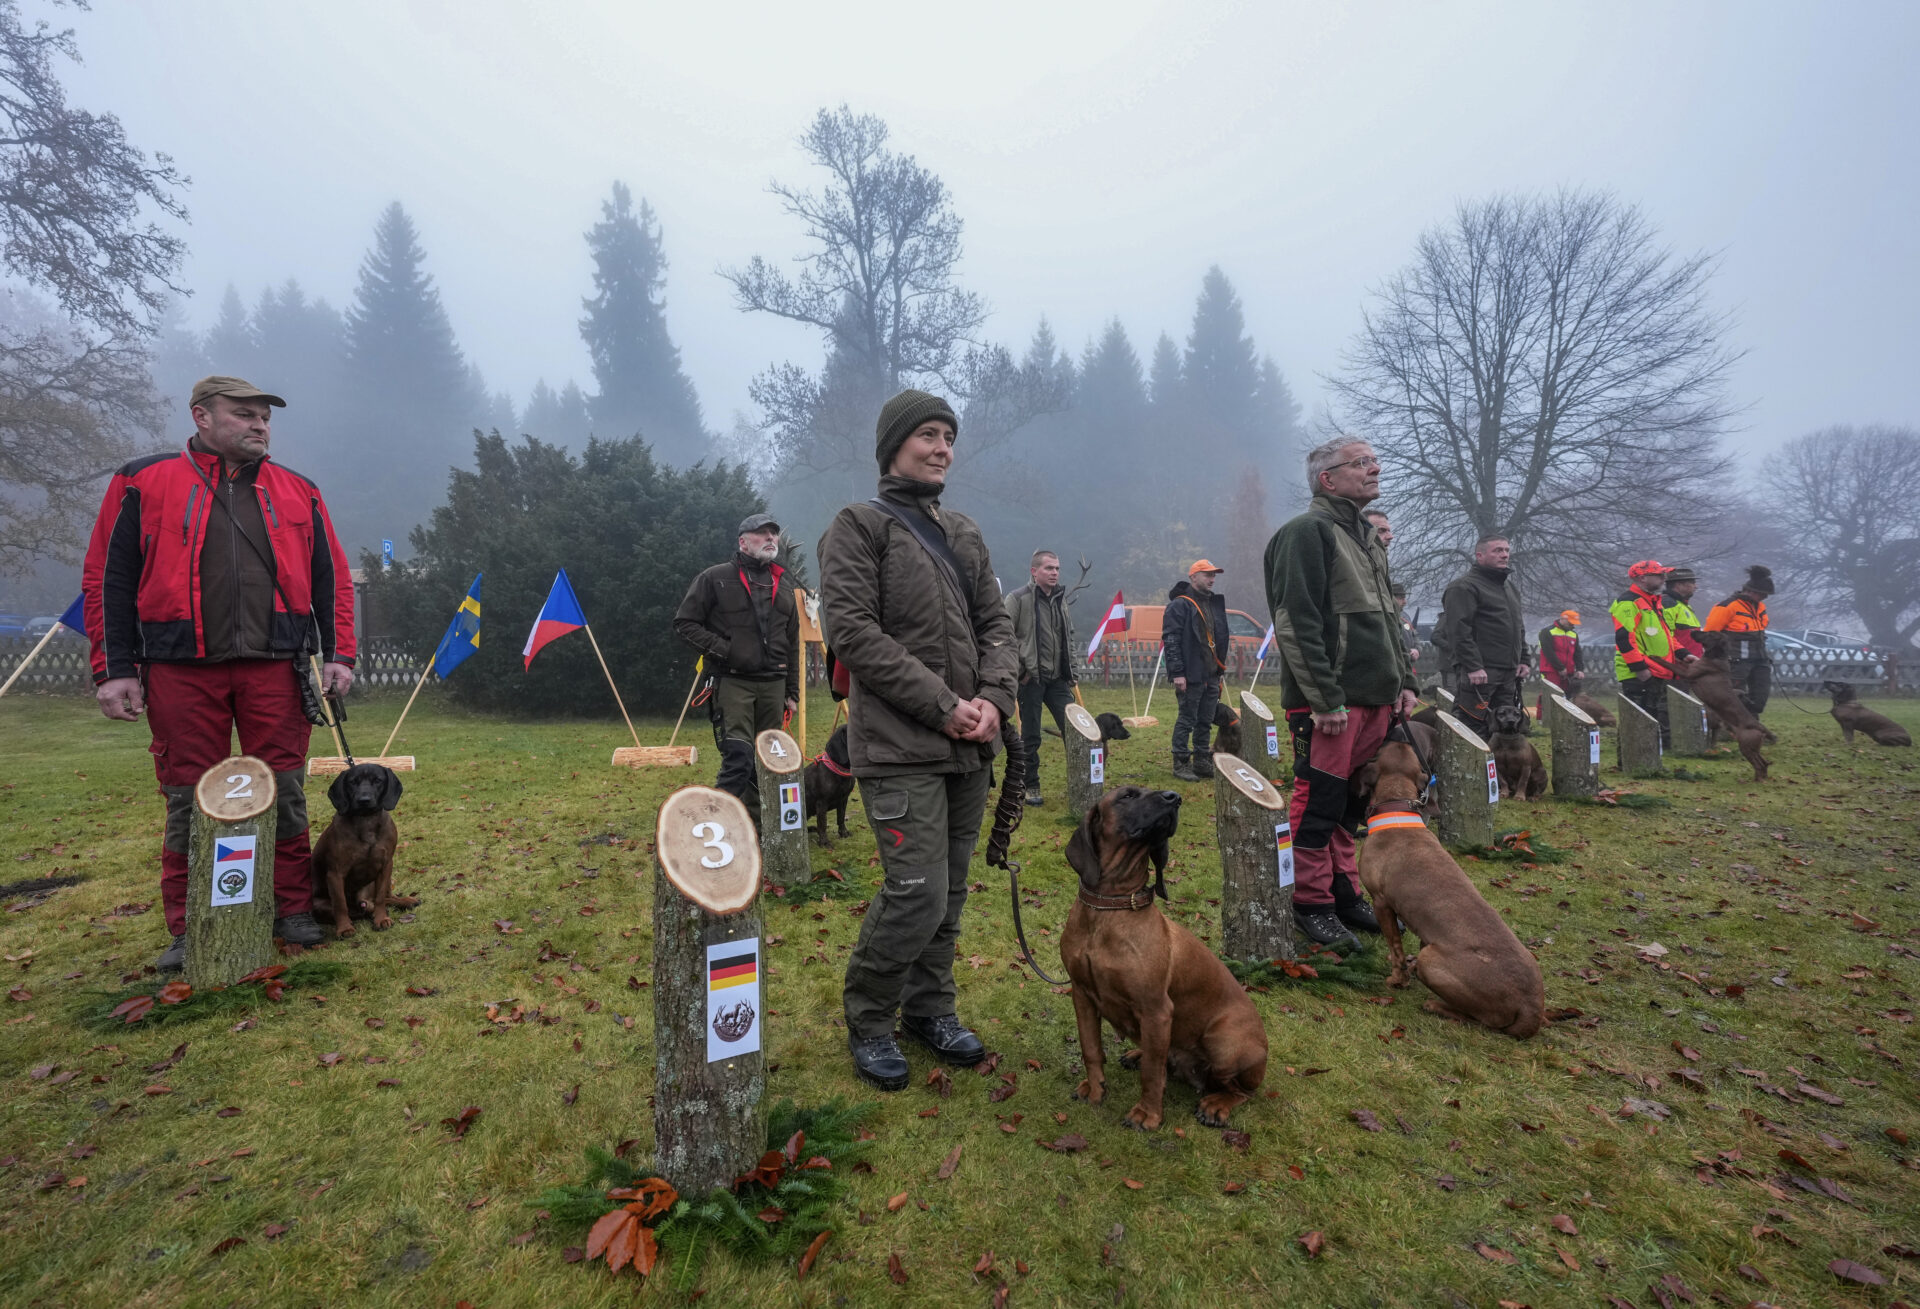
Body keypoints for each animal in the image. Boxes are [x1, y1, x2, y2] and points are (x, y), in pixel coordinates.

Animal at [310, 762, 414, 937]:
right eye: (353, 782)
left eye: (377, 780)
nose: (364, 800)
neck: (366, 821)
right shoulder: (335, 874)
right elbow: (340, 904)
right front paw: (345, 927)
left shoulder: (386, 866)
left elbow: (380, 898)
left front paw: (381, 919)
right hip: (318, 903)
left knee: (382, 898)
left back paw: (407, 901)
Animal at [1060, 787, 1268, 1130]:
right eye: (1128, 796)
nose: (1175, 797)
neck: (1109, 907)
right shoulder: (1082, 994)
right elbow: (1091, 1048)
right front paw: (1094, 1089)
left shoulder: (1156, 1010)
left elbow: (1152, 1075)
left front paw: (1147, 1114)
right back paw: (1137, 1055)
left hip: (1225, 1043)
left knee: (1242, 1091)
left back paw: (1216, 1105)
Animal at [1354, 742, 1544, 1037]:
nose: (1399, 738)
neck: (1397, 805)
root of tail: (1531, 1009)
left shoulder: (1382, 902)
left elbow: (1395, 947)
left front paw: (1397, 979)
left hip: (1430, 959)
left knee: (1482, 1020)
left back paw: (1435, 1005)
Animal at [1672, 635, 1771, 781]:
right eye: (1743, 696)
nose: (1752, 703)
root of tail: (1760, 727)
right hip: (1750, 747)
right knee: (1763, 763)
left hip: (1746, 747)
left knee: (1760, 763)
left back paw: (1757, 779)